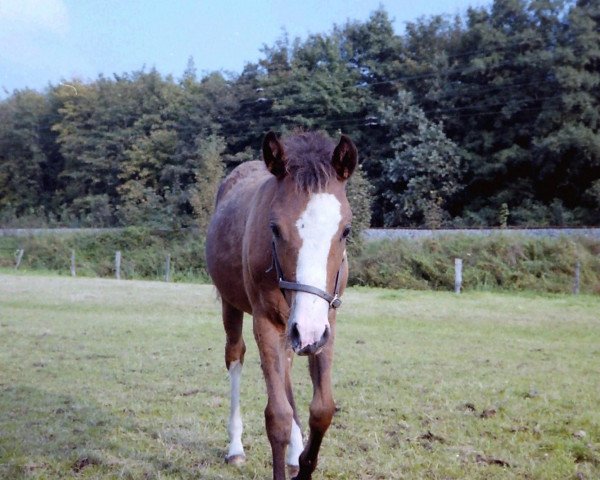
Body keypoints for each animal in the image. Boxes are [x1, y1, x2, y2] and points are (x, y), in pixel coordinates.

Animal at [205, 129, 356, 478]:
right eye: (274, 228)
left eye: (345, 230)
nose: (309, 331)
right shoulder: (266, 321)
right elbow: (277, 416)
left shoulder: (326, 323)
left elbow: (322, 409)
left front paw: (303, 464)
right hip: (234, 306)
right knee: (235, 356)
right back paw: (236, 449)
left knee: (286, 367)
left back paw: (294, 453)